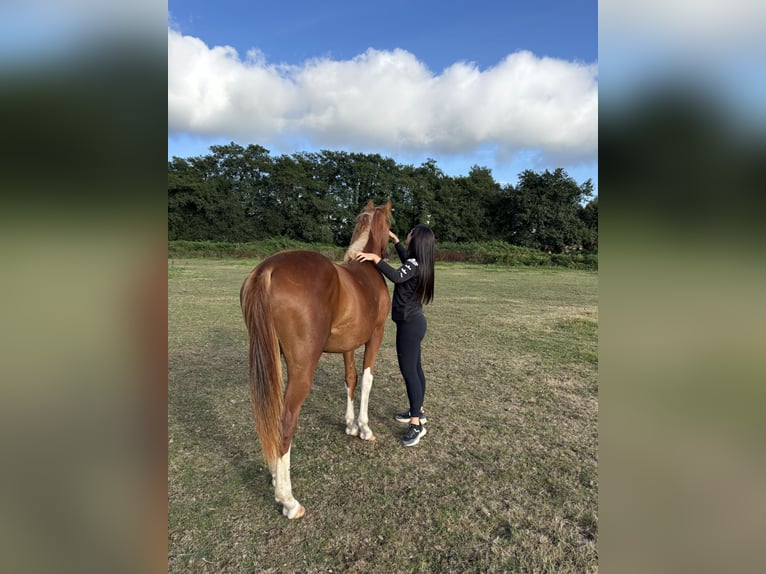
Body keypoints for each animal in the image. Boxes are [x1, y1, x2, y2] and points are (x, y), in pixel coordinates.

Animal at [239, 199, 393, 518]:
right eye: (390, 222)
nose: (389, 252)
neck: (365, 269)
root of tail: (268, 268)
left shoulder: (348, 345)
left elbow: (350, 379)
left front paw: (350, 425)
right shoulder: (375, 336)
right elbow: (367, 379)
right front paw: (364, 428)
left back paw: (276, 476)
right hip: (301, 371)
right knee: (285, 420)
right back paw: (288, 500)